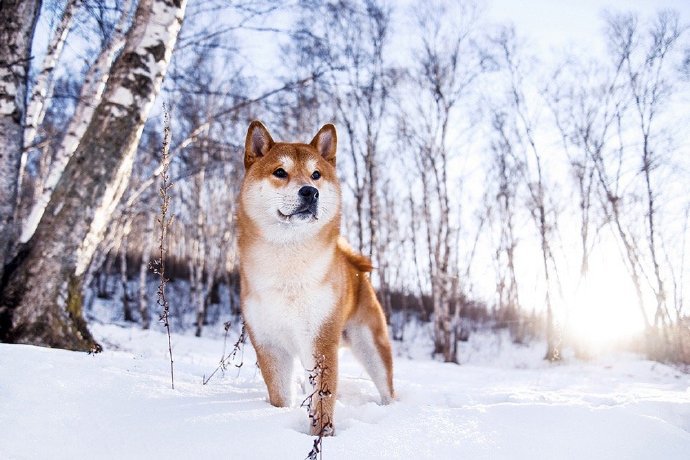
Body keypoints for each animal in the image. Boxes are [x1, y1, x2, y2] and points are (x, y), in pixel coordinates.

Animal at [236, 121, 396, 434]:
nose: (310, 192)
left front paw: (322, 433)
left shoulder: (320, 339)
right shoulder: (268, 343)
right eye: (280, 172)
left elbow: (323, 399)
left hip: (371, 345)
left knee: (386, 385)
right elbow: (279, 396)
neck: (287, 265)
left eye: (316, 175)